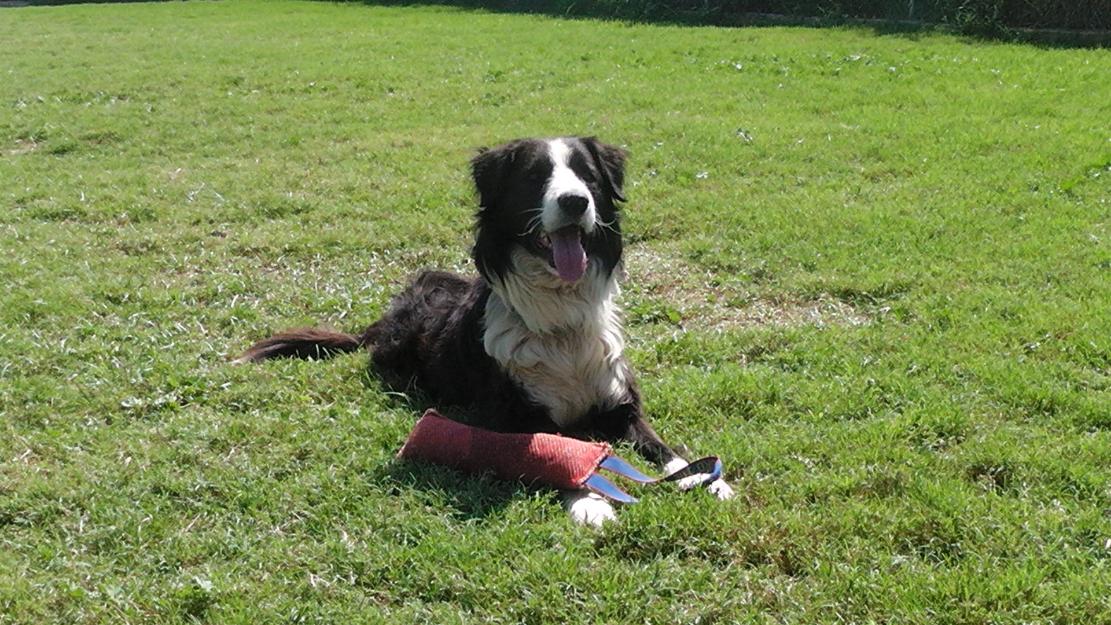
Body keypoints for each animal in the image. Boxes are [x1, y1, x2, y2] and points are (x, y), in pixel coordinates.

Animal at [238, 138, 733, 528]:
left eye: (587, 176)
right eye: (535, 176)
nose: (576, 201)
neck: (560, 320)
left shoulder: (620, 405)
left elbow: (662, 447)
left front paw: (702, 476)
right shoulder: (516, 418)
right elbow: (560, 455)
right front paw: (590, 502)